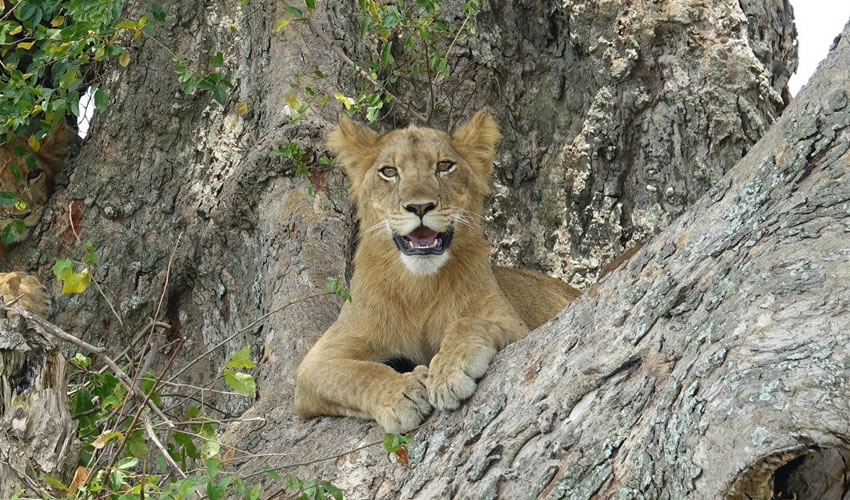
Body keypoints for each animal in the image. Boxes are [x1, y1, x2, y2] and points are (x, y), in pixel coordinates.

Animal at [295, 111, 581, 432]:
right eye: (389, 171)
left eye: (444, 166)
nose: (420, 206)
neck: (418, 286)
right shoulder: (316, 363)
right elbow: (357, 374)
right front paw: (401, 393)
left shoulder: (518, 326)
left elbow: (467, 323)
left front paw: (448, 372)